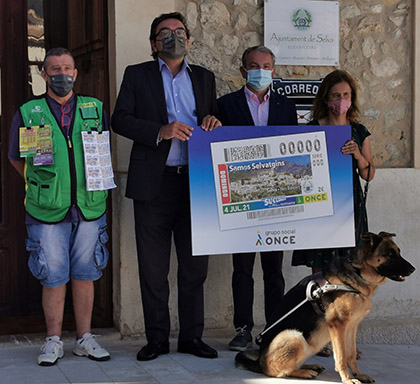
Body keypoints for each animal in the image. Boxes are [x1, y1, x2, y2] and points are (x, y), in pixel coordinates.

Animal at [235, 231, 416, 384]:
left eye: (398, 252)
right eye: (390, 254)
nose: (413, 269)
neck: (357, 272)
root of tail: (259, 361)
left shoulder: (352, 326)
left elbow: (351, 354)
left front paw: (358, 374)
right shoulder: (338, 326)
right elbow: (341, 356)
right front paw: (348, 379)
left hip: (311, 343)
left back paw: (309, 366)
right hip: (294, 336)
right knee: (276, 371)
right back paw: (304, 373)